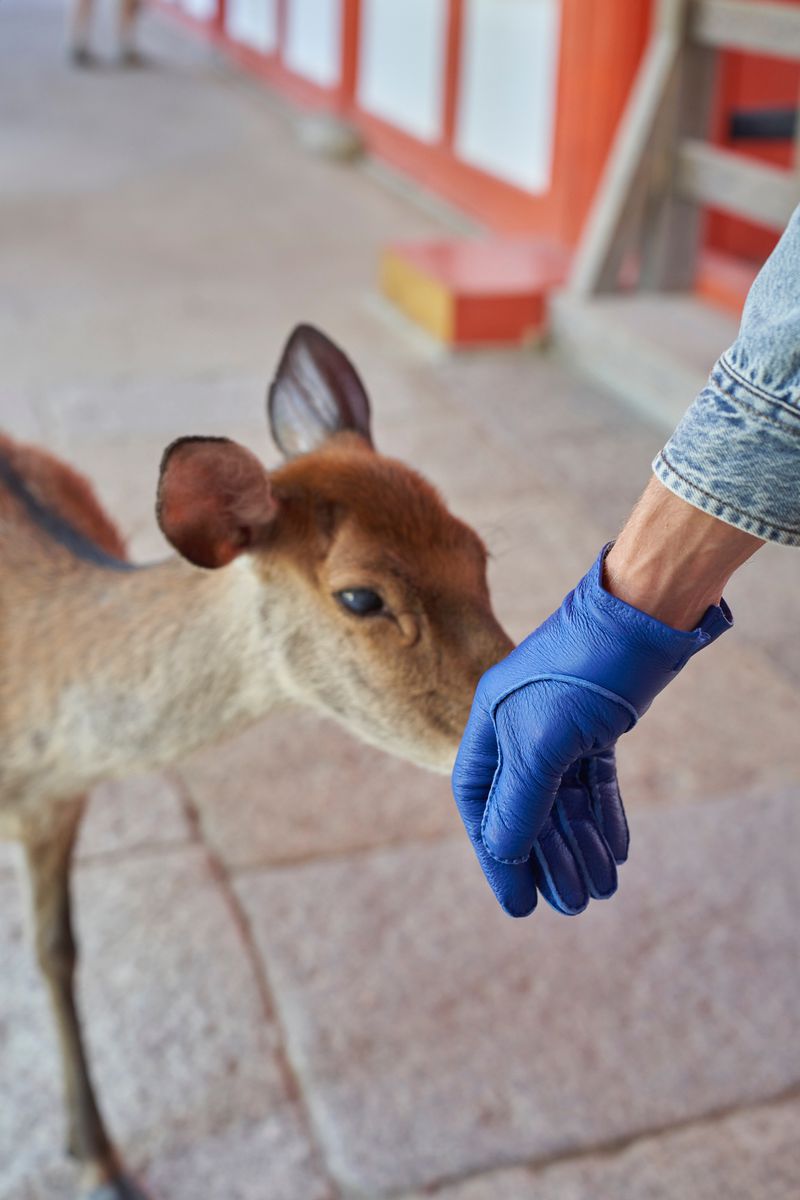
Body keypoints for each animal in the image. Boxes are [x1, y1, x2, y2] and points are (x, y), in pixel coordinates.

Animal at [0, 325, 513, 1199]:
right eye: (361, 597)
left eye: (477, 551)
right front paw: (93, 1155)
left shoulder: (57, 800)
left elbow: (57, 950)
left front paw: (95, 1154)